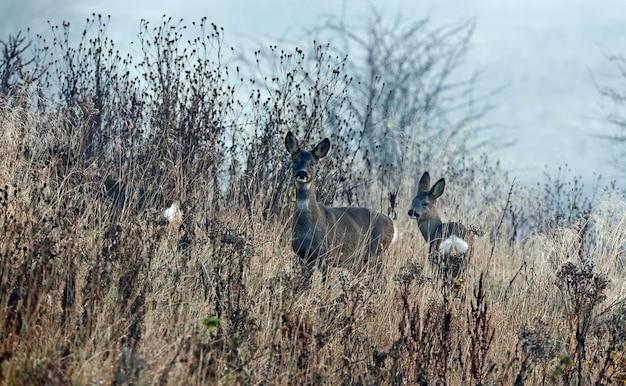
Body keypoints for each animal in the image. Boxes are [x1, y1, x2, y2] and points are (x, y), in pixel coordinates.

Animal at [284, 131, 394, 284]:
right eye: (295, 160)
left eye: (312, 163)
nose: (302, 173)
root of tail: (392, 225)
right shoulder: (304, 256)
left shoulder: (329, 255)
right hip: (359, 262)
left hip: (377, 253)